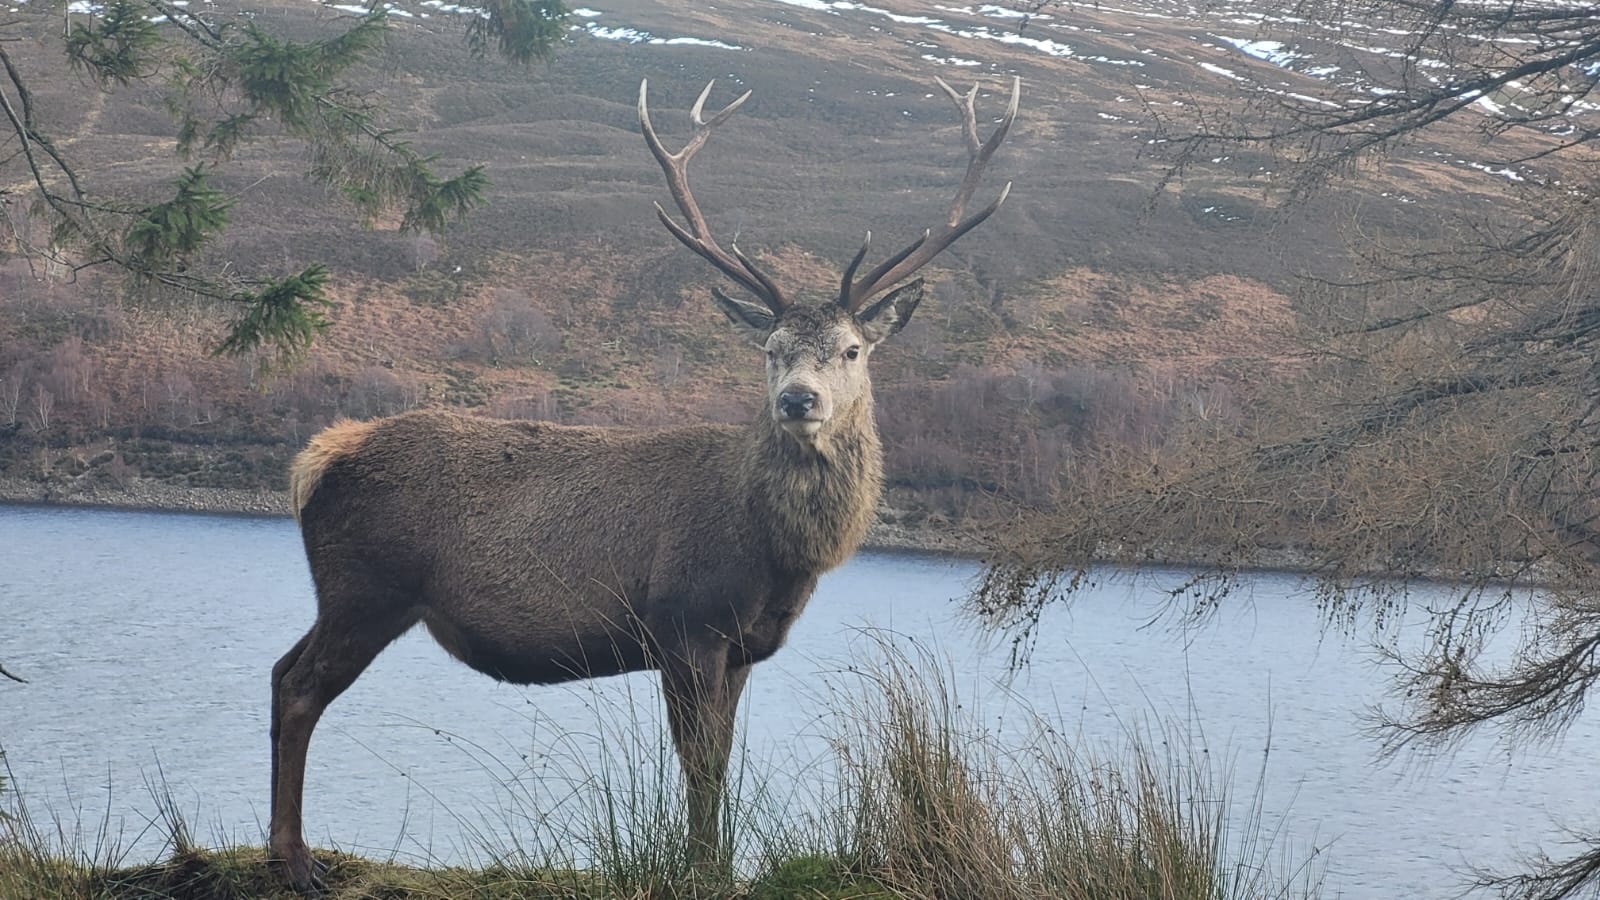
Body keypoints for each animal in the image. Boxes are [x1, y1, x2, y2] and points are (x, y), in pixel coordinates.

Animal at [267, 74, 1020, 894]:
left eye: (852, 349)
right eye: (770, 347)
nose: (798, 400)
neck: (777, 554)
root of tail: (317, 460)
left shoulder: (742, 646)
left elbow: (721, 761)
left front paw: (717, 866)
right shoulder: (684, 621)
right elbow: (698, 764)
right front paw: (701, 869)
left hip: (348, 593)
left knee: (278, 670)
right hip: (367, 587)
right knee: (300, 689)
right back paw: (293, 859)